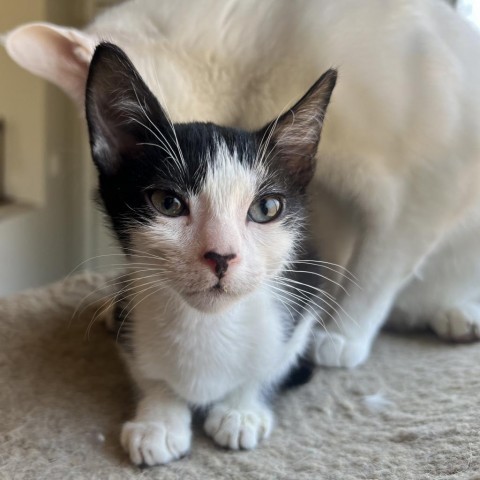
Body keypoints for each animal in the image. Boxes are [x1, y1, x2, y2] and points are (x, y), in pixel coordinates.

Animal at [83, 42, 338, 464]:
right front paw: (159, 420)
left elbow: (272, 364)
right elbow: (148, 373)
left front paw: (241, 410)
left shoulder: (307, 289)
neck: (206, 324)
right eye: (168, 203)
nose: (221, 256)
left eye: (266, 208)